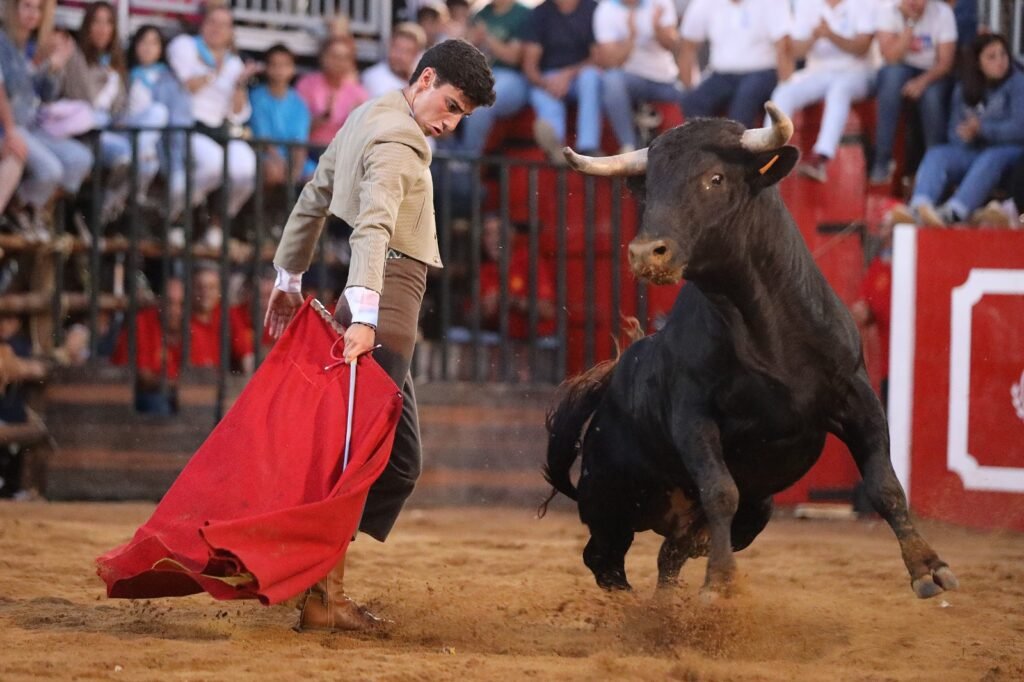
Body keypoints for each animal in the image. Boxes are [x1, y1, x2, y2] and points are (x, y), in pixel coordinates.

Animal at [543, 103, 958, 600]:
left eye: (716, 178)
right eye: (651, 186)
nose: (646, 254)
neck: (766, 331)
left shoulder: (857, 396)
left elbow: (885, 484)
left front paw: (928, 566)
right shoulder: (692, 415)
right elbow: (721, 489)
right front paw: (720, 582)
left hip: (752, 513)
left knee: (672, 553)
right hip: (607, 502)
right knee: (605, 561)